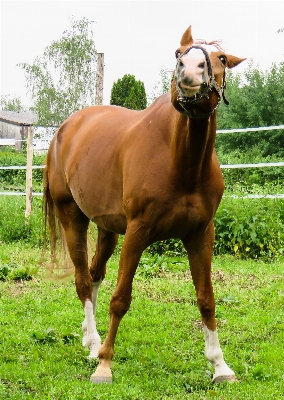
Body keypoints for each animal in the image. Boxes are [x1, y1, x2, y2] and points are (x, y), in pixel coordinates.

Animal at [43, 26, 245, 382]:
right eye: (178, 53)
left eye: (221, 58)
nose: (189, 72)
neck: (181, 162)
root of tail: (64, 130)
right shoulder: (138, 232)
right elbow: (120, 299)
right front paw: (105, 365)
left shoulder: (200, 234)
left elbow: (206, 299)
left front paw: (220, 366)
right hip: (72, 218)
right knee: (83, 280)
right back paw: (94, 346)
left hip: (107, 229)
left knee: (94, 275)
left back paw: (89, 338)